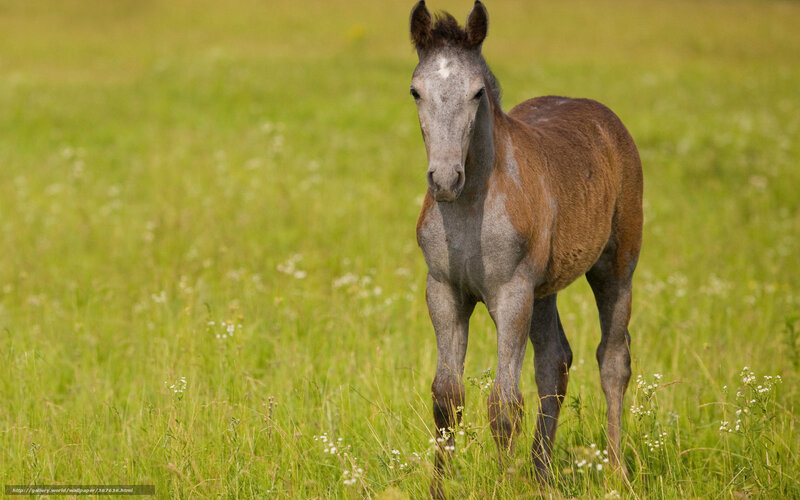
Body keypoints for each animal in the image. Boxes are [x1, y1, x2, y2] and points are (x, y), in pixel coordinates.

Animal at [408, 1, 643, 495]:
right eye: (416, 91)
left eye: (477, 92)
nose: (444, 179)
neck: (471, 206)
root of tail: (606, 119)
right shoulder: (444, 291)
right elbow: (446, 398)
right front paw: (439, 488)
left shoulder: (511, 293)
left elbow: (503, 403)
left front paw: (503, 485)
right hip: (544, 289)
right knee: (555, 361)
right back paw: (541, 474)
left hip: (616, 267)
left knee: (613, 360)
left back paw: (616, 473)